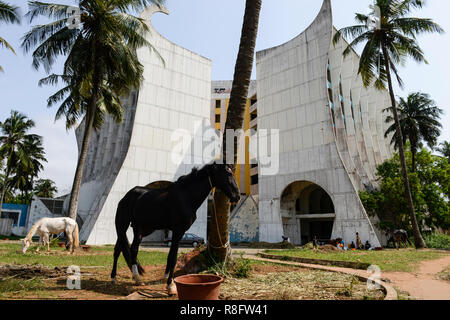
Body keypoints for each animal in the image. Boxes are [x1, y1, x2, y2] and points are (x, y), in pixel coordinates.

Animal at [110, 162, 241, 296]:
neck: (186, 196)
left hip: (139, 229)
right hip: (122, 226)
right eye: (228, 174)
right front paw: (170, 285)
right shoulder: (178, 231)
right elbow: (173, 257)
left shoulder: (178, 232)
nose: (237, 196)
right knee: (117, 250)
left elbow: (170, 256)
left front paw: (167, 278)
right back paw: (113, 278)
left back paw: (137, 279)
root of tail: (128, 195)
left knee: (133, 249)